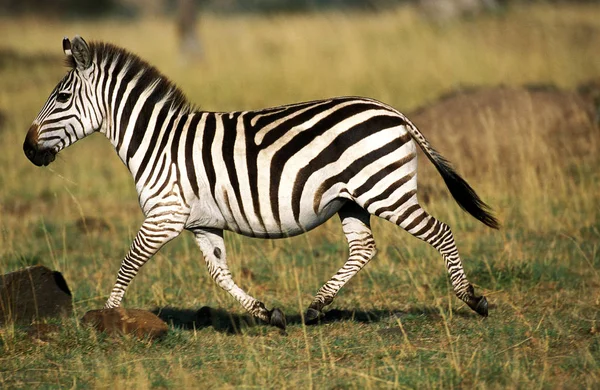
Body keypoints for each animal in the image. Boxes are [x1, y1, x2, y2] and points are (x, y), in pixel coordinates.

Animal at [23, 36, 500, 330]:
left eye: (62, 98)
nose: (28, 150)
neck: (157, 142)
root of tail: (392, 110)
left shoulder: (164, 215)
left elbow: (128, 263)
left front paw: (106, 321)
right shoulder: (202, 222)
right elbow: (219, 273)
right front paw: (267, 314)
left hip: (386, 190)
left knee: (441, 231)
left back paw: (472, 299)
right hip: (352, 199)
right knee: (364, 248)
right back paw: (316, 307)